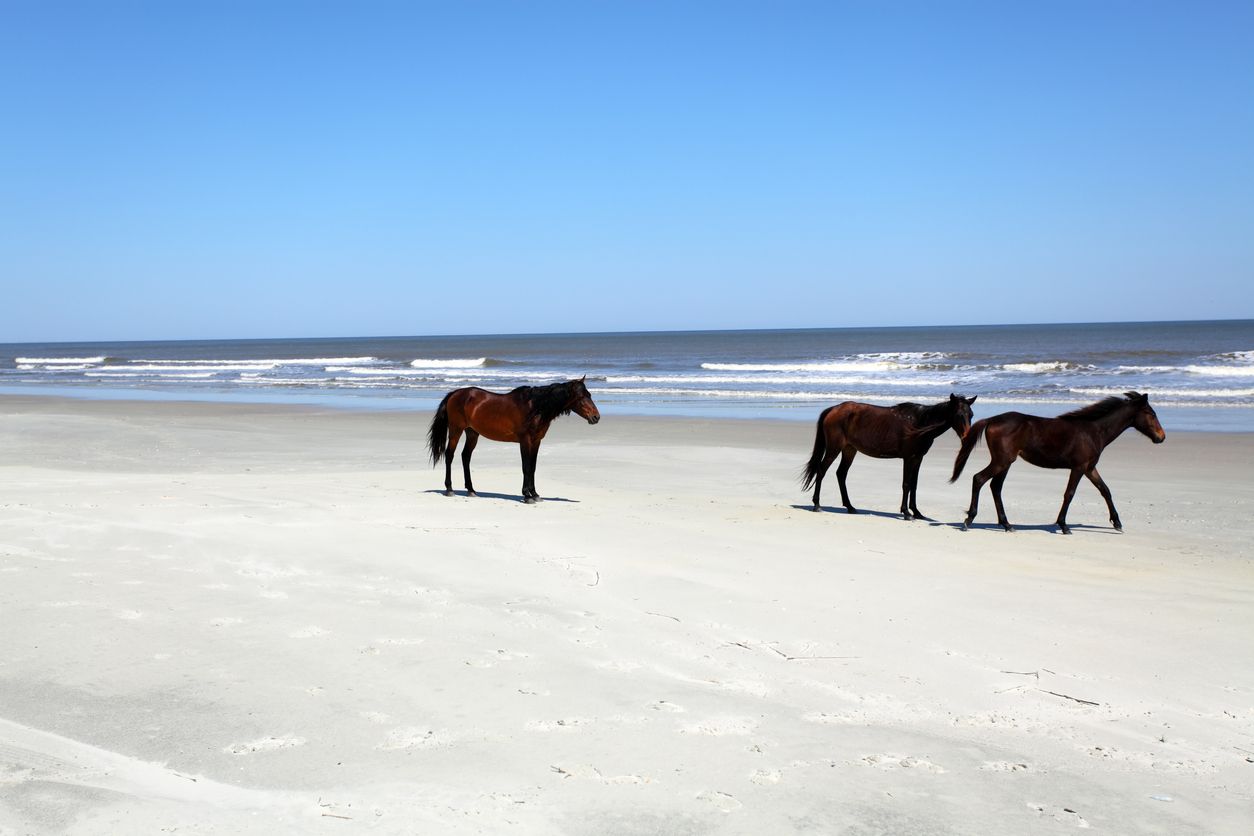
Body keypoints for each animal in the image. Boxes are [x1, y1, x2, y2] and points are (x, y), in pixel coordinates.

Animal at [426, 377, 601, 503]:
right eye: (581, 397)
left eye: (589, 395)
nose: (596, 417)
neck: (534, 407)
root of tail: (454, 394)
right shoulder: (525, 441)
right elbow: (526, 467)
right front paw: (527, 496)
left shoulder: (536, 441)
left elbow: (533, 467)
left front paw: (535, 494)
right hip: (456, 430)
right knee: (450, 455)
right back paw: (449, 489)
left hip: (472, 433)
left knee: (465, 457)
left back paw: (471, 490)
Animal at [802, 394, 977, 519]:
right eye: (958, 414)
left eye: (971, 414)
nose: (967, 438)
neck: (920, 423)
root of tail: (833, 409)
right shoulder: (909, 458)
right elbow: (906, 484)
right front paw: (906, 513)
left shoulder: (918, 458)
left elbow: (914, 485)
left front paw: (917, 512)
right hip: (834, 448)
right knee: (821, 471)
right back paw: (817, 505)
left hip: (849, 450)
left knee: (841, 474)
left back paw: (850, 507)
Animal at [950, 391, 1165, 534]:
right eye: (1152, 414)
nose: (1161, 437)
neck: (1094, 431)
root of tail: (992, 419)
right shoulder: (1079, 467)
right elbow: (1069, 494)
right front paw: (1063, 525)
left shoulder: (1090, 468)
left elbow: (1105, 490)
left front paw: (1117, 523)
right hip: (1002, 461)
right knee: (979, 479)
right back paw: (969, 520)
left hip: (1005, 462)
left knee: (995, 487)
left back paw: (1007, 525)